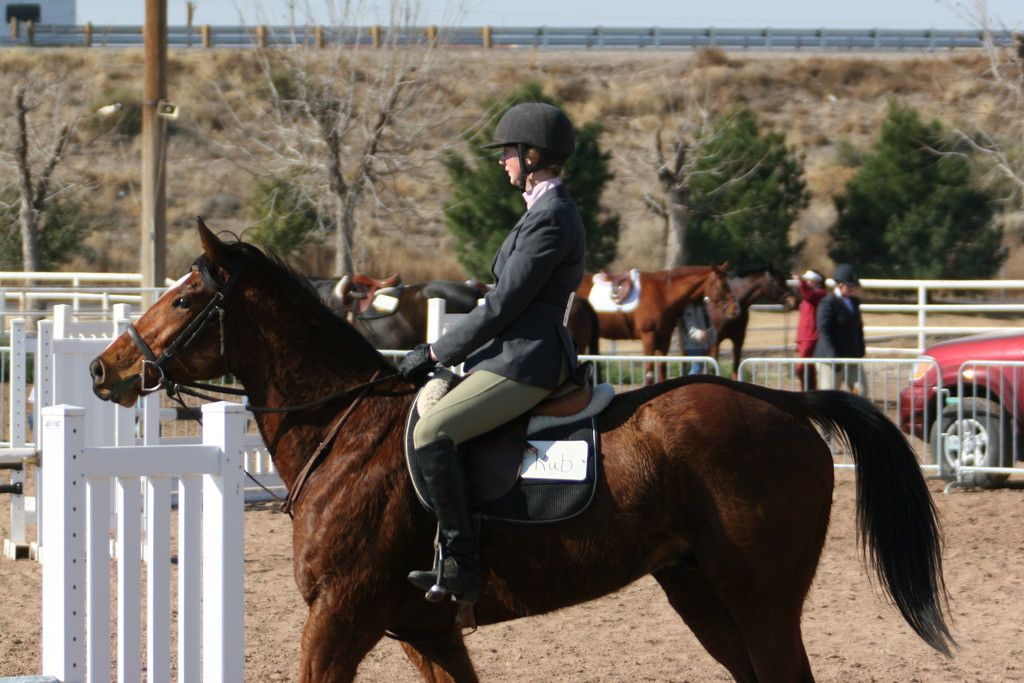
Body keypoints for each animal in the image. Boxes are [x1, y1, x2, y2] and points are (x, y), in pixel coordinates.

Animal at [577, 264, 737, 385]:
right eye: (723, 284)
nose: (734, 309)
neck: (663, 293)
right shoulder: (649, 335)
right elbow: (649, 372)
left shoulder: (664, 337)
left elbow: (661, 368)